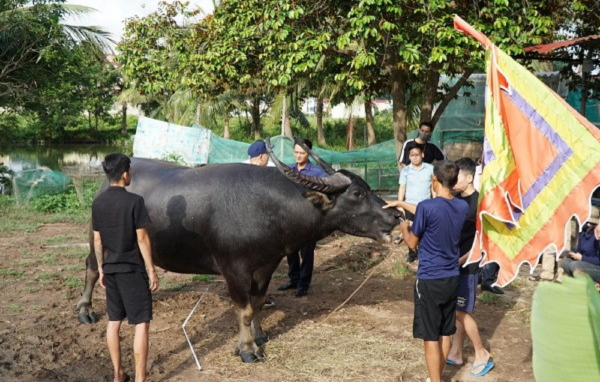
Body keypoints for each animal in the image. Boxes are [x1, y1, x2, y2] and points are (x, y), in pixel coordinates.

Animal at [76, 145, 404, 362]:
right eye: (357, 194)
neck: (269, 210)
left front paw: (259, 336)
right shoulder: (233, 269)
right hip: (97, 239)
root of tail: (103, 184)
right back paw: (85, 310)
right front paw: (247, 349)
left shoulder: (267, 264)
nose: (396, 215)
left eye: (367, 187)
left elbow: (257, 303)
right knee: (91, 267)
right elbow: (244, 310)